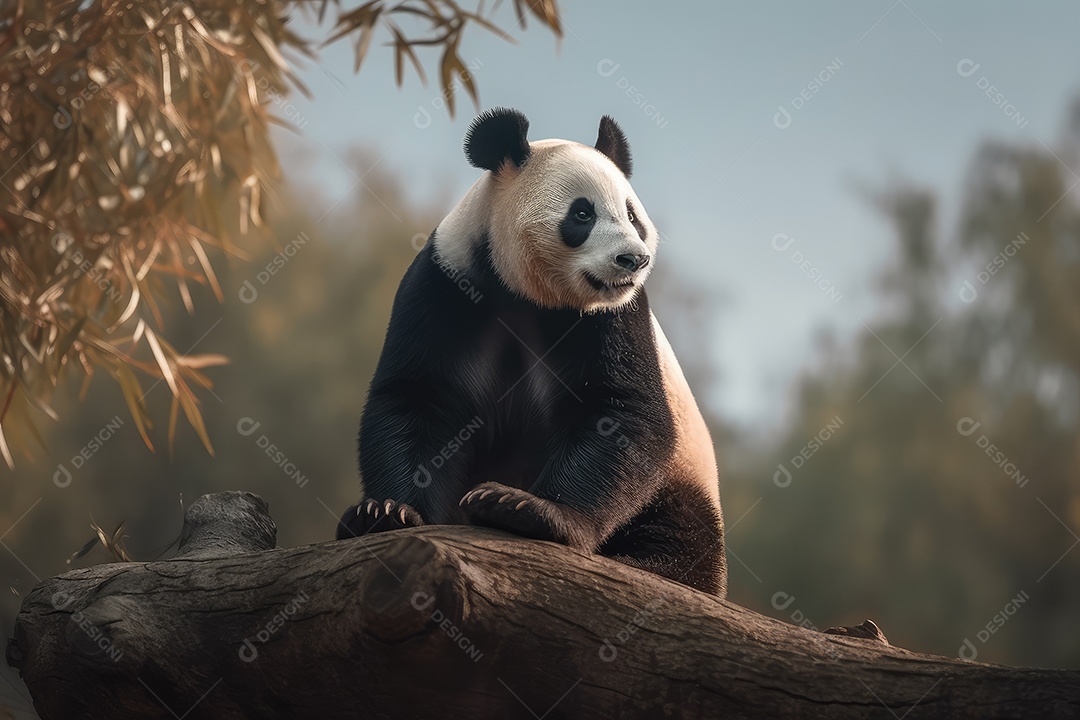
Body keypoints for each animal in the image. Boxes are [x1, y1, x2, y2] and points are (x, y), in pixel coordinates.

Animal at [337, 108, 726, 596]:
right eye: (583, 213)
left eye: (632, 215)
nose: (633, 260)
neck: (525, 293)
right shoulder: (445, 284)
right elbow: (416, 396)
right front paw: (385, 512)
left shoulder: (616, 316)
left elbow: (622, 410)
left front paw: (526, 508)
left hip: (687, 474)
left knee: (682, 529)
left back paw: (647, 564)